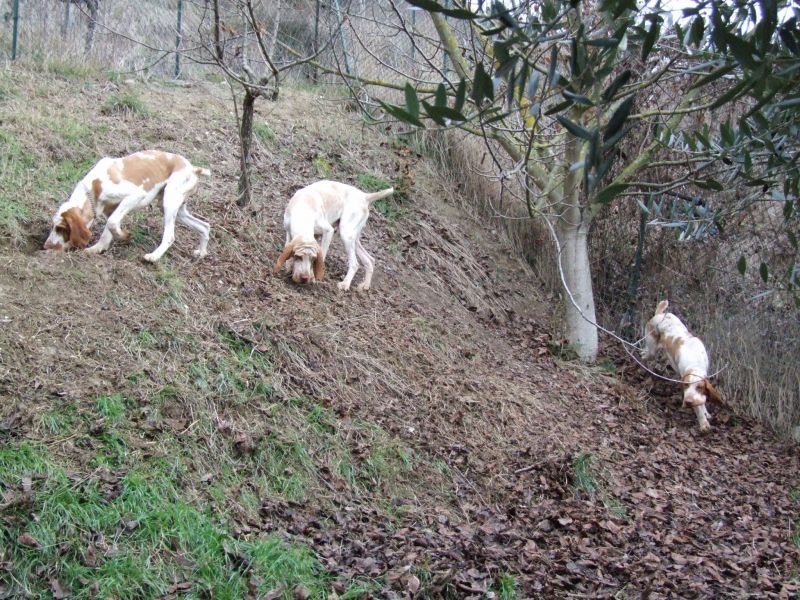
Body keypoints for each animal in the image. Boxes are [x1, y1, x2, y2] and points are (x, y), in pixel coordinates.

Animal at [45, 149, 211, 260]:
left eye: (61, 228)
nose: (46, 247)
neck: (94, 187)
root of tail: (193, 168)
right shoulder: (111, 210)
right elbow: (107, 232)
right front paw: (97, 249)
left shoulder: (135, 195)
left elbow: (112, 224)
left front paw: (124, 236)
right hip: (174, 208)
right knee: (205, 226)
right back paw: (201, 253)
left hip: (169, 202)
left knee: (170, 236)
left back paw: (153, 256)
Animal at [644, 300, 724, 432]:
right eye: (686, 385)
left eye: (699, 387)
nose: (688, 402)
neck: (695, 363)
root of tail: (660, 314)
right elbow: (698, 408)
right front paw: (703, 423)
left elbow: (701, 400)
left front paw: (705, 413)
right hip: (651, 350)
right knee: (644, 354)